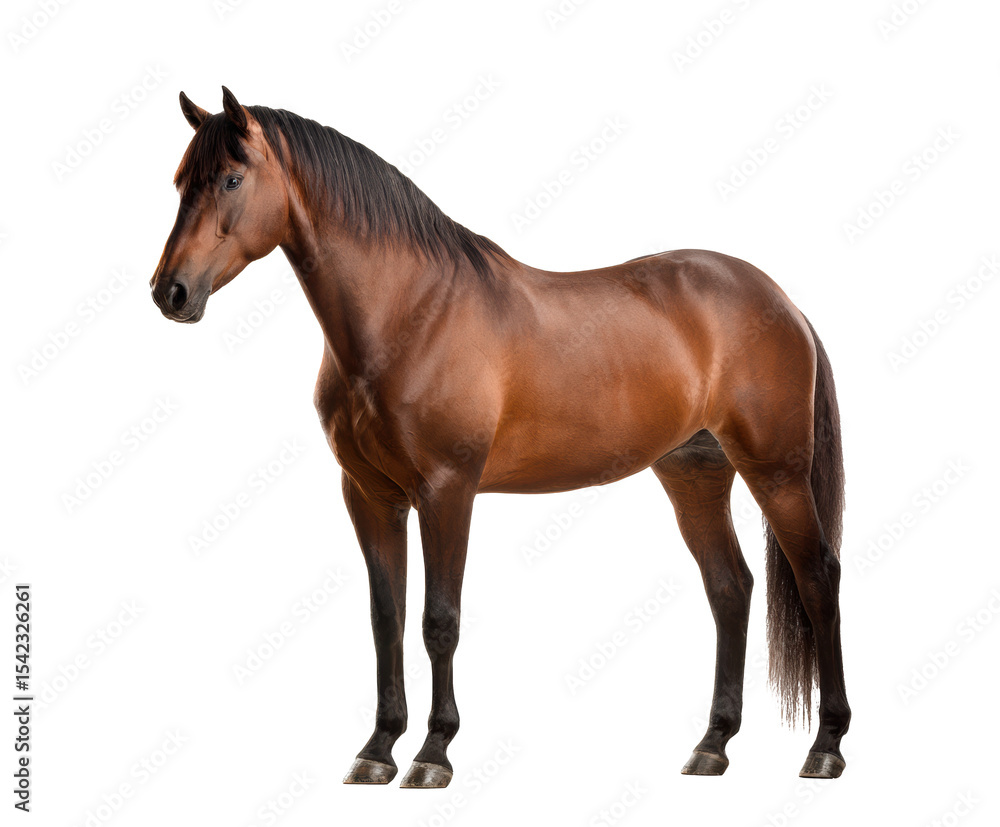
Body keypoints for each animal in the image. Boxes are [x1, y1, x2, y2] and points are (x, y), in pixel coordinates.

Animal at [150, 87, 851, 787]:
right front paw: (378, 748)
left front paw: (433, 752)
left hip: (777, 472)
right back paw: (713, 744)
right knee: (730, 590)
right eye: (182, 181)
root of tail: (779, 300)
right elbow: (386, 618)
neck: (410, 312)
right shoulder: (370, 496)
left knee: (818, 578)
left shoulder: (447, 491)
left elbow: (439, 621)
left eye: (232, 178)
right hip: (694, 473)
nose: (170, 293)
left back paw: (826, 745)